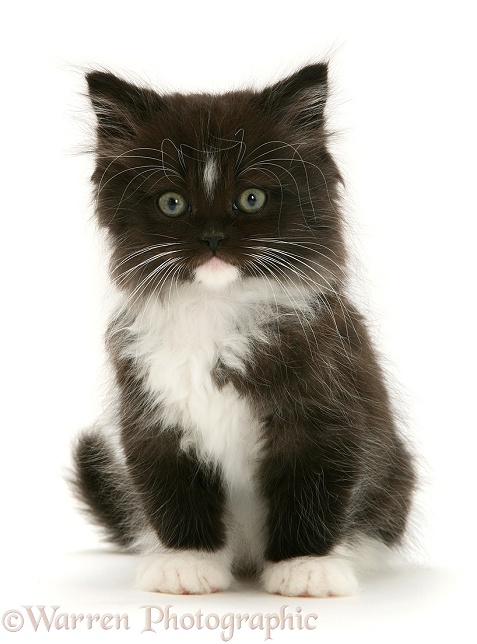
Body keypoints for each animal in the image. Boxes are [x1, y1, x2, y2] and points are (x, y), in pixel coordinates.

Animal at [72, 63, 414, 596]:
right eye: (172, 203)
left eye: (251, 198)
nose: (213, 238)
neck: (217, 310)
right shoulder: (152, 416)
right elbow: (173, 491)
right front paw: (186, 562)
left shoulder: (324, 409)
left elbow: (314, 486)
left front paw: (305, 566)